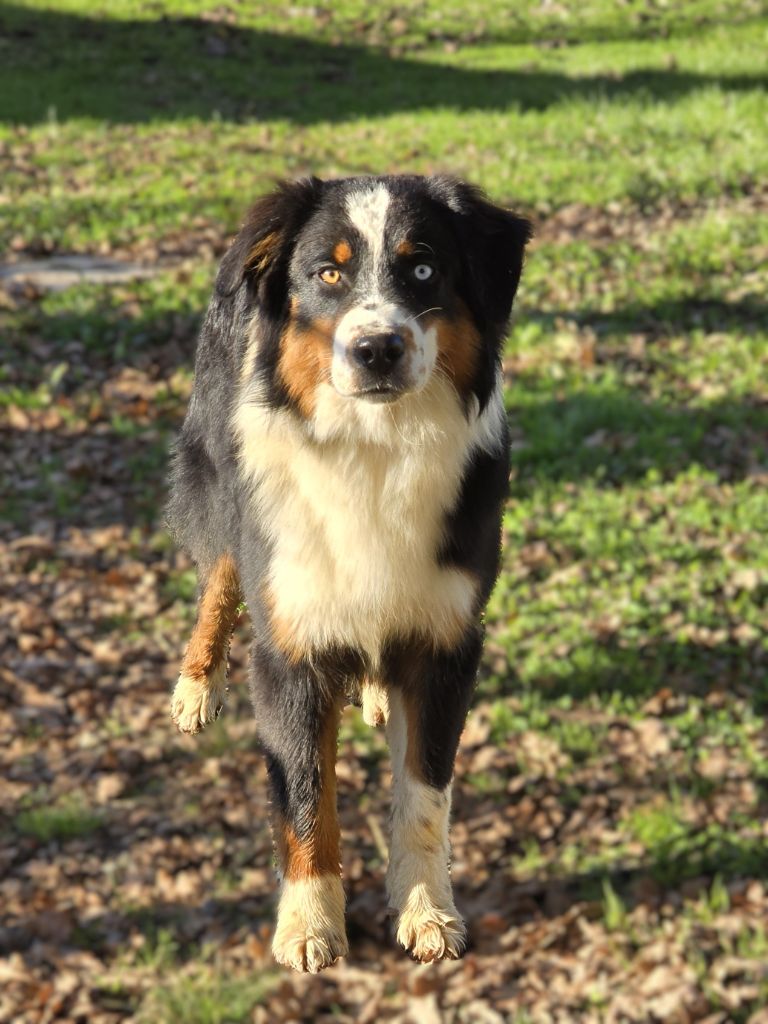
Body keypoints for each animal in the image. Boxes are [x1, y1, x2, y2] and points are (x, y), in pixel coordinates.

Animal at [165, 174, 532, 966]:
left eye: (423, 268)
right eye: (327, 275)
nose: (377, 349)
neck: (374, 451)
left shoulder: (448, 641)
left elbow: (425, 793)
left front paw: (426, 910)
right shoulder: (288, 649)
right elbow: (306, 798)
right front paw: (308, 924)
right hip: (219, 482)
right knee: (217, 580)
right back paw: (196, 685)